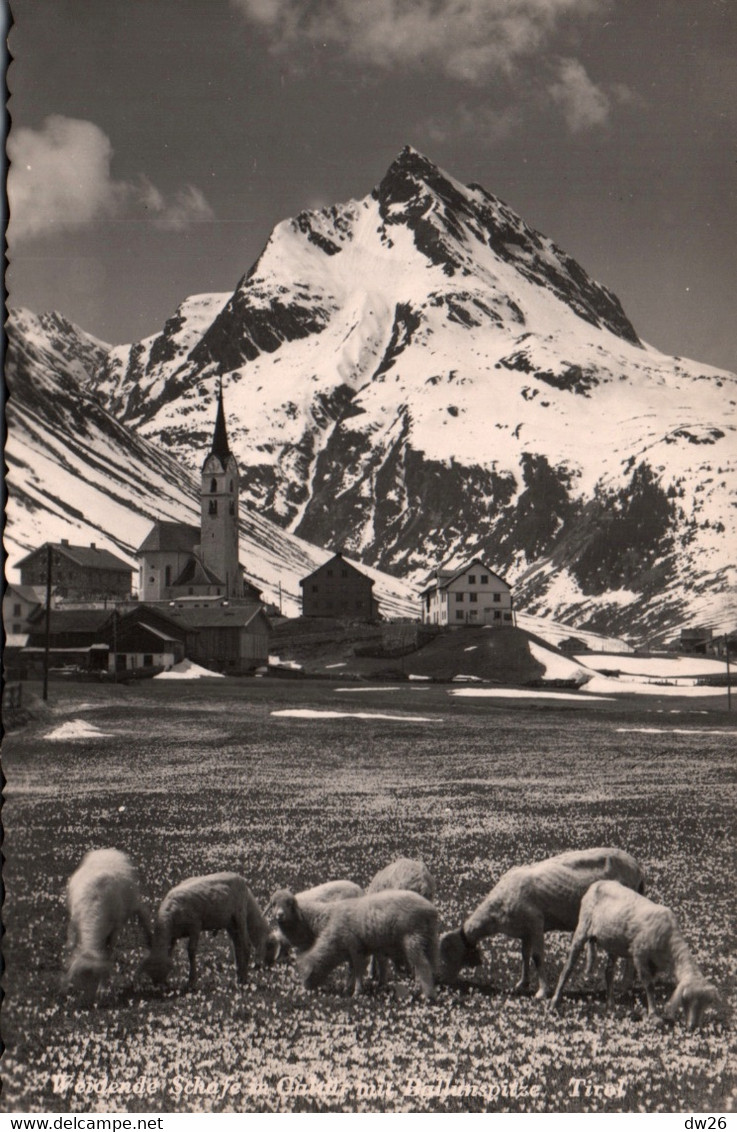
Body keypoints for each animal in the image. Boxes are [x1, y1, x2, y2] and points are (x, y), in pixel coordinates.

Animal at [64, 846, 152, 1005]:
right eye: (79, 980)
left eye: (95, 978)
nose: (89, 1004)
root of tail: (108, 850)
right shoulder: (76, 923)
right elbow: (74, 944)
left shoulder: (115, 930)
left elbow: (109, 953)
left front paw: (103, 989)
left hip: (133, 899)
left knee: (142, 912)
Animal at [139, 869, 278, 987]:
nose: (158, 985)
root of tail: (240, 879)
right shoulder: (173, 936)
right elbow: (170, 952)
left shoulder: (195, 926)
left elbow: (191, 951)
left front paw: (192, 981)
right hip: (231, 923)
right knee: (237, 946)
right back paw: (239, 976)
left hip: (239, 915)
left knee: (245, 944)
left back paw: (243, 978)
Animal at [294, 892, 439, 1000]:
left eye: (304, 973)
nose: (306, 990)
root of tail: (431, 910)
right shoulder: (361, 950)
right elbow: (352, 970)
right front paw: (348, 988)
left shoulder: (355, 947)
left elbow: (358, 970)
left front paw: (357, 991)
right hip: (429, 938)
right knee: (431, 962)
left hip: (413, 938)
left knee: (423, 965)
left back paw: (427, 994)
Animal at [439, 846, 647, 996]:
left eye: (447, 955)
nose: (444, 983)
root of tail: (637, 867)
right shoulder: (524, 930)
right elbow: (524, 955)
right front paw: (522, 983)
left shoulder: (536, 923)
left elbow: (537, 957)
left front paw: (542, 991)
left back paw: (624, 985)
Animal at [552, 878, 720, 1032]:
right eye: (687, 999)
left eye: (706, 1004)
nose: (694, 1027)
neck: (670, 945)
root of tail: (598, 883)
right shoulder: (640, 954)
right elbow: (649, 985)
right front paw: (654, 1016)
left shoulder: (654, 964)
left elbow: (651, 984)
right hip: (583, 926)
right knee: (568, 967)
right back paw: (554, 1001)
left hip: (613, 941)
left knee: (609, 972)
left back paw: (610, 1005)